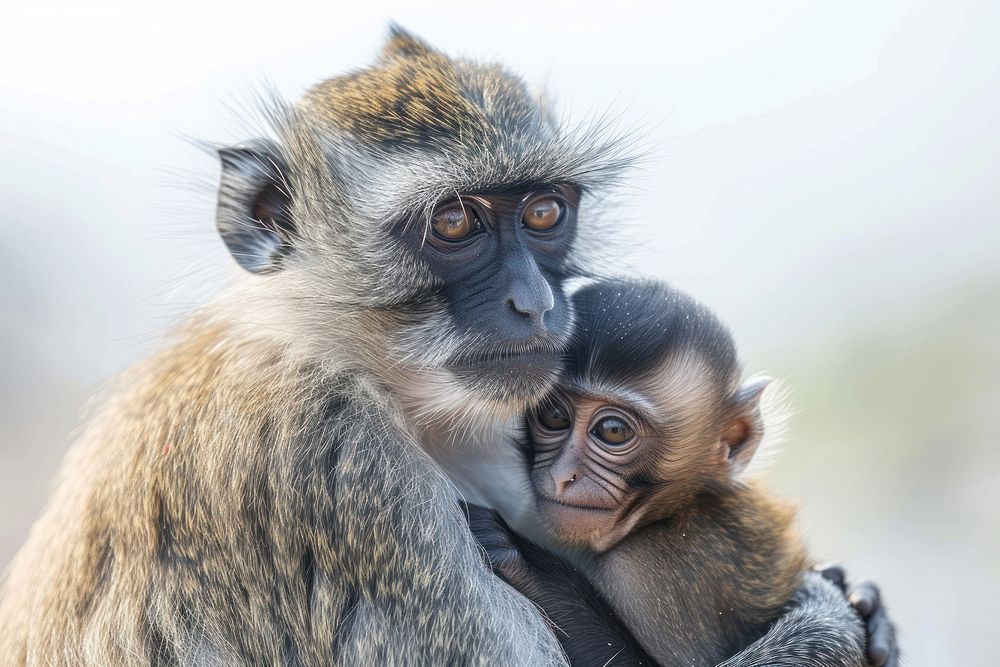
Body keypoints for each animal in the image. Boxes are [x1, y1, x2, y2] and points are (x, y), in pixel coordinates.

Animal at [468, 280, 868, 667]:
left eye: (613, 431)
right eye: (554, 416)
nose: (563, 475)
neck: (680, 507)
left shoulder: (648, 573)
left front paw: (532, 566)